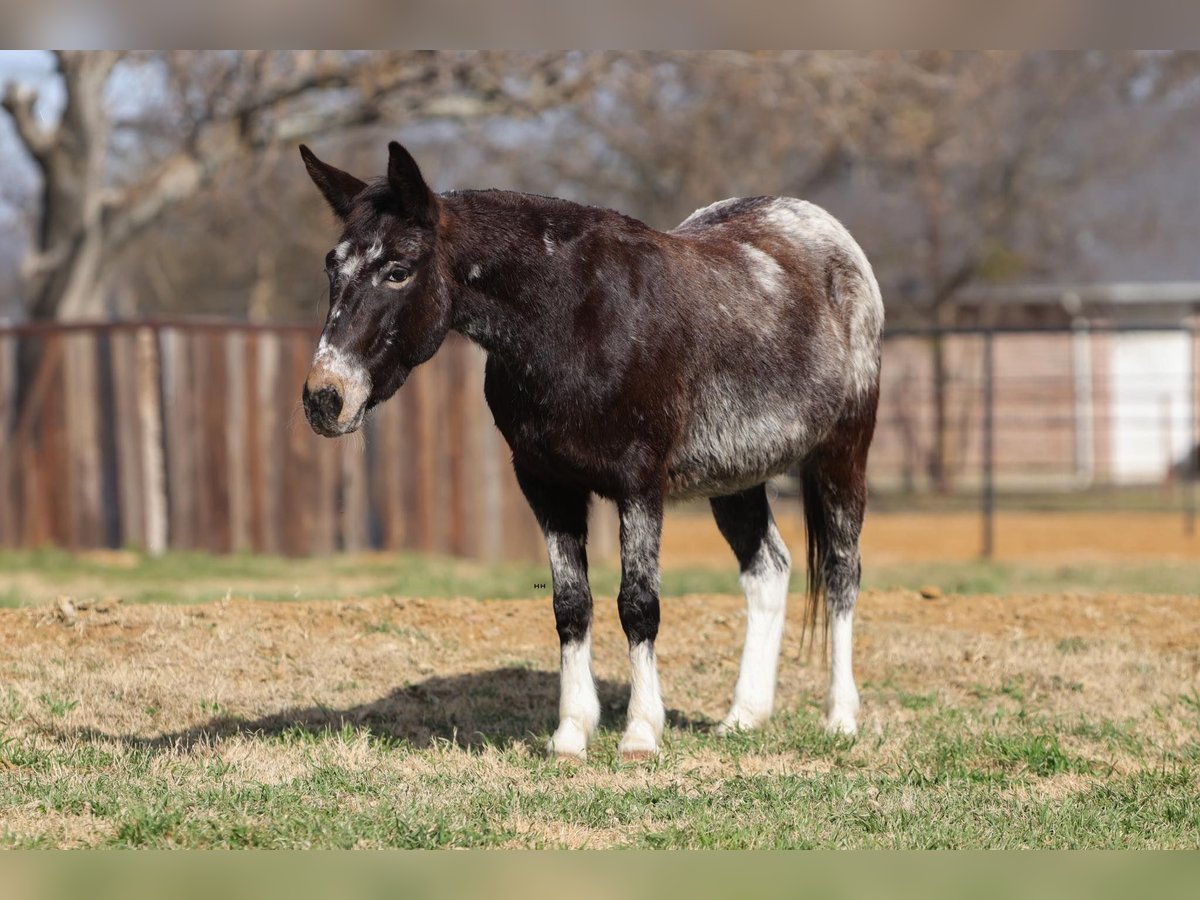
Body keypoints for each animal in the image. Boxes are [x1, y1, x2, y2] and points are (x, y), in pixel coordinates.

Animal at [299, 141, 883, 760]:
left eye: (398, 271)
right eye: (333, 267)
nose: (325, 398)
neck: (575, 318)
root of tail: (825, 232)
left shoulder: (640, 485)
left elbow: (639, 604)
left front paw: (641, 733)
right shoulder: (546, 486)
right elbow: (571, 605)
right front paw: (571, 733)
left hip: (843, 454)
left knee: (842, 572)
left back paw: (840, 719)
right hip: (736, 477)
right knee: (768, 568)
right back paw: (744, 717)